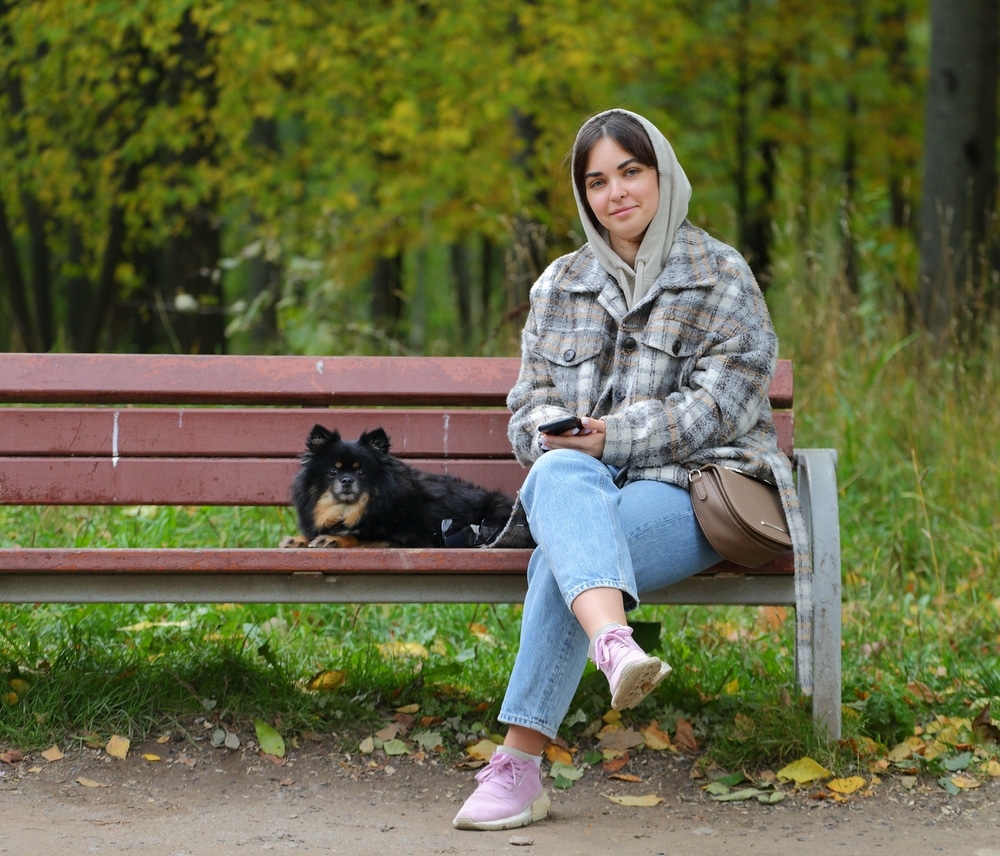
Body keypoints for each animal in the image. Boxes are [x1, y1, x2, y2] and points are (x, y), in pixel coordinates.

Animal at [282, 426, 516, 548]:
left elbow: (359, 536)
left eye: (361, 472)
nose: (346, 480)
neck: (348, 511)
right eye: (333, 471)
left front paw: (333, 539)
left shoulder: (404, 538)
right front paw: (298, 540)